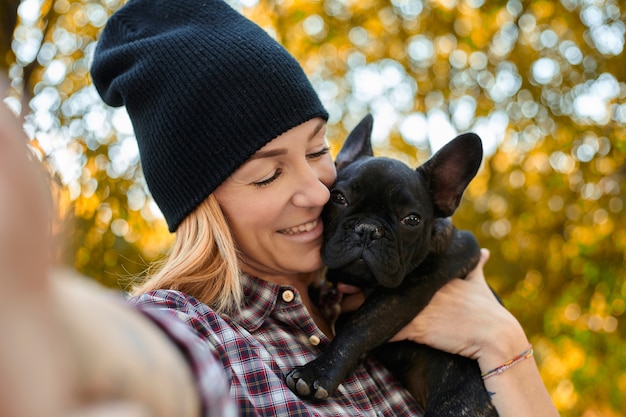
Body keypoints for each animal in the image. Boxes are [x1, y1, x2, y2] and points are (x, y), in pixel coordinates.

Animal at [286, 114, 494, 416]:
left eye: (412, 219)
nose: (368, 229)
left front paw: (318, 372)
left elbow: (361, 324)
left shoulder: (407, 291)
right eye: (338, 198)